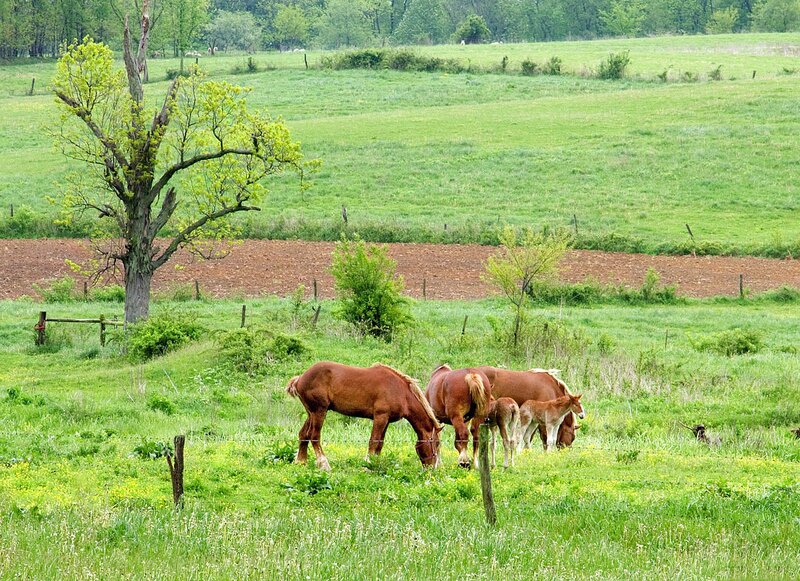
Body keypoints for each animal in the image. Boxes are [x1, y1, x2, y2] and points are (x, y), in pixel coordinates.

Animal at [286, 362, 442, 471]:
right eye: (436, 443)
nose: (433, 468)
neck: (401, 392)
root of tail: (300, 378)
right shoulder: (380, 417)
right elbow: (373, 441)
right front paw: (367, 464)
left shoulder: (386, 421)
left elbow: (379, 443)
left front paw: (375, 463)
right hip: (319, 411)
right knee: (314, 435)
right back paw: (323, 464)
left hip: (311, 413)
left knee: (304, 434)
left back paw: (300, 461)